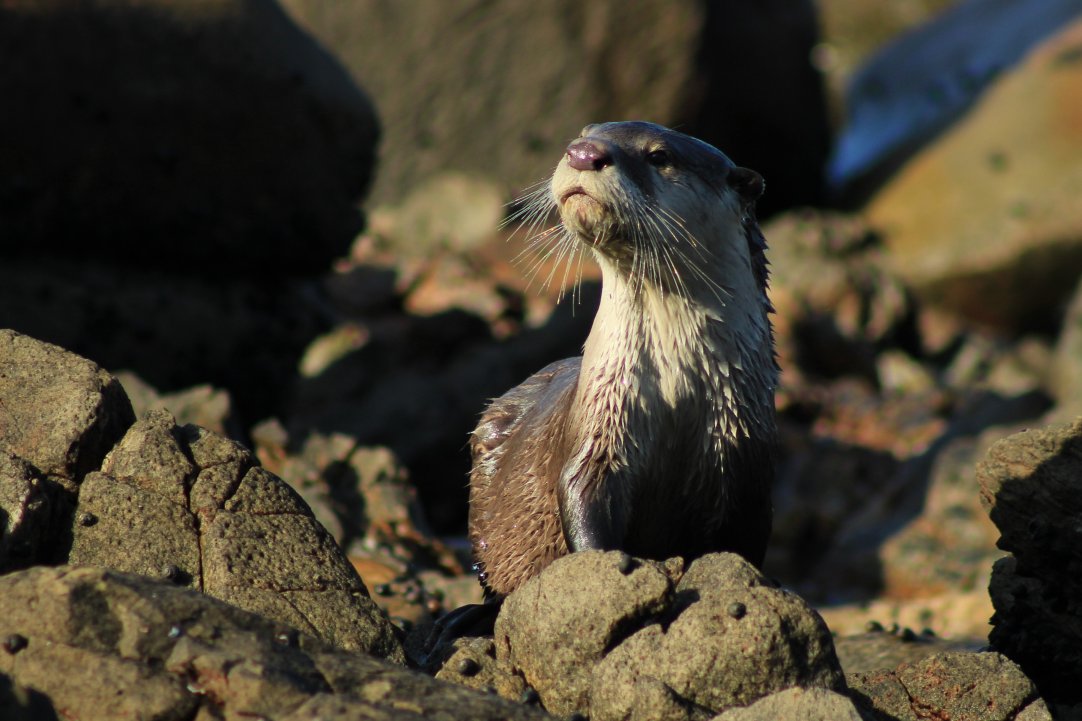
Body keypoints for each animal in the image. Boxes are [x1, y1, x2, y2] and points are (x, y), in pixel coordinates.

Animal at [469, 122, 774, 593]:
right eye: (584, 132)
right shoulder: (602, 421)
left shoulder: (744, 452)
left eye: (659, 155)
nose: (582, 153)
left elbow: (745, 540)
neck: (678, 385)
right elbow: (581, 494)